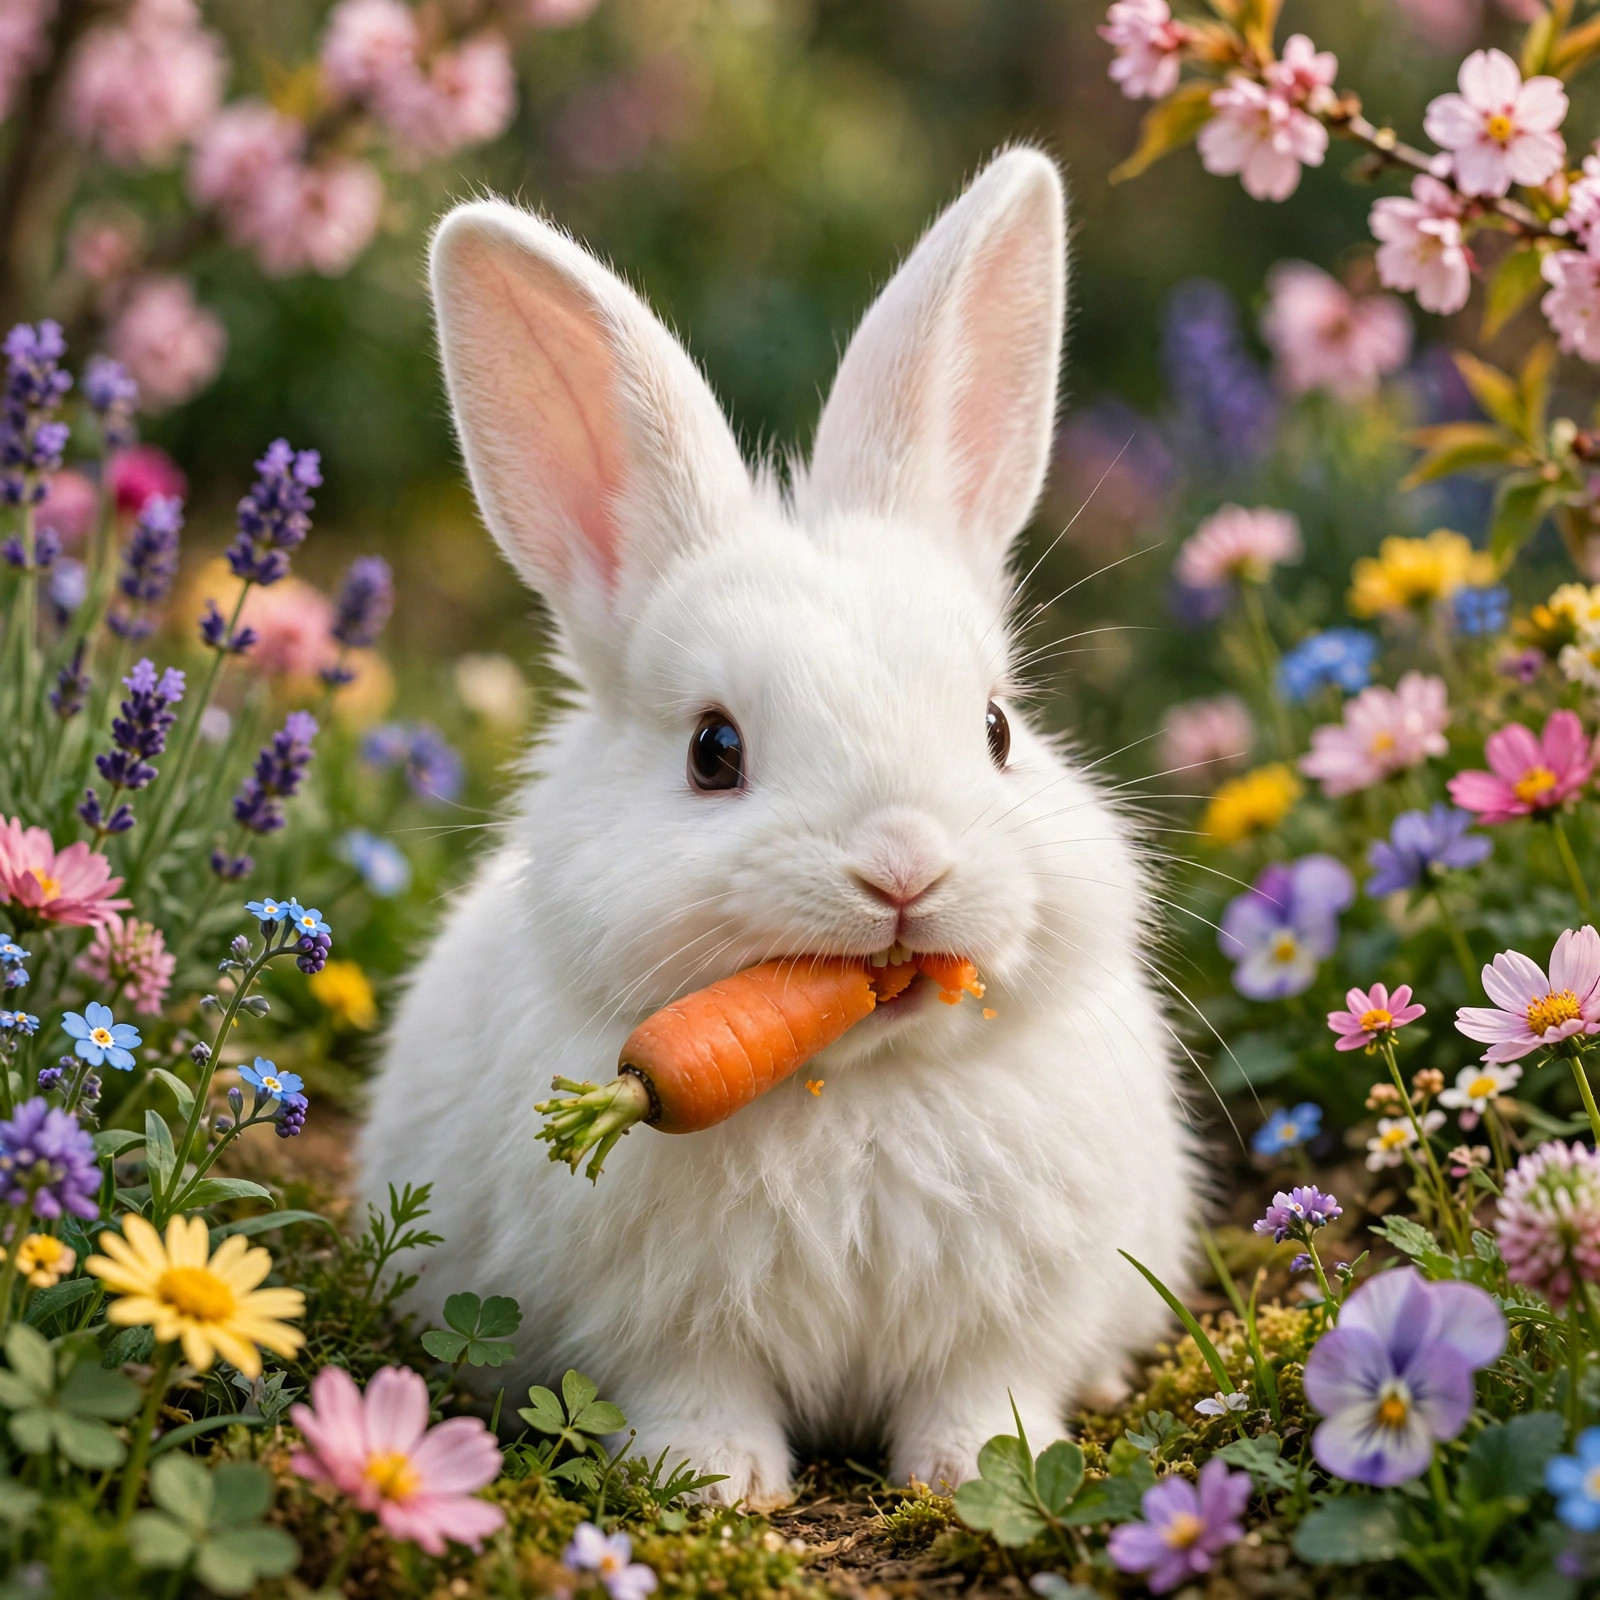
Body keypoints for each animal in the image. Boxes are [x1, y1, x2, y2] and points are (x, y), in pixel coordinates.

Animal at [357, 145, 1201, 1510]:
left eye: (996, 728)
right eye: (715, 750)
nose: (904, 867)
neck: (847, 1084)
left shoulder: (1014, 1315)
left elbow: (982, 1387)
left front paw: (979, 1470)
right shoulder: (657, 1327)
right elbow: (695, 1391)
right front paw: (717, 1484)